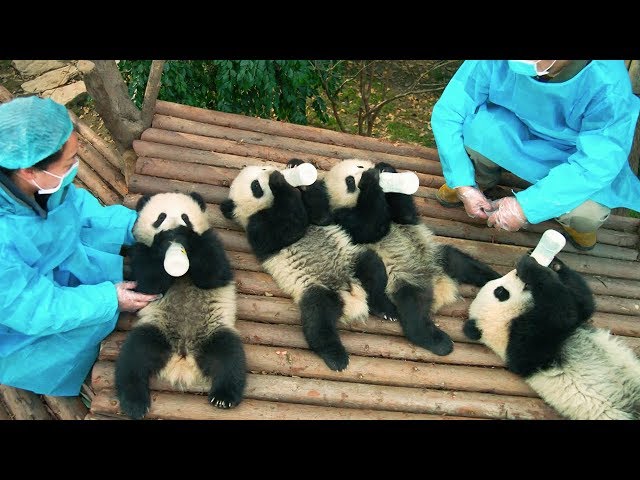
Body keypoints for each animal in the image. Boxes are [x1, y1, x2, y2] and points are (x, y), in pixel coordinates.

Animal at [115, 192, 246, 419]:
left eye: (186, 217)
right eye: (160, 217)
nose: (175, 230)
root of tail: (183, 357)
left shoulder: (211, 243)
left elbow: (213, 274)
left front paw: (186, 236)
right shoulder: (140, 251)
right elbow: (150, 283)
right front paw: (163, 240)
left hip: (213, 332)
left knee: (229, 357)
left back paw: (223, 397)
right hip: (156, 329)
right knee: (134, 357)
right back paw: (135, 403)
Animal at [220, 165, 397, 372]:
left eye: (263, 167)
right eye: (255, 185)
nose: (271, 170)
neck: (269, 206)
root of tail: (350, 295)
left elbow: (321, 216)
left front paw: (299, 174)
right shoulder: (258, 229)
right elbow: (289, 228)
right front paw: (279, 181)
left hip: (352, 259)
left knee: (373, 269)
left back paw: (386, 309)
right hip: (314, 288)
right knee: (318, 318)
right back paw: (336, 357)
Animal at [317, 159, 501, 356]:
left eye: (359, 166)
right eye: (350, 181)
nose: (366, 171)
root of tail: (439, 283)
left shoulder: (397, 214)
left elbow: (405, 215)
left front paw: (385, 169)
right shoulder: (344, 219)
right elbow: (369, 228)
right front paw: (370, 181)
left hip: (436, 255)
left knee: (463, 263)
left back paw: (499, 280)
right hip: (404, 280)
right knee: (413, 310)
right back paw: (439, 342)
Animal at [464, 254, 640, 420]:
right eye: (500, 292)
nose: (516, 273)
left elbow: (582, 305)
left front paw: (552, 262)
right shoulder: (524, 345)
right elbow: (563, 313)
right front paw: (531, 266)